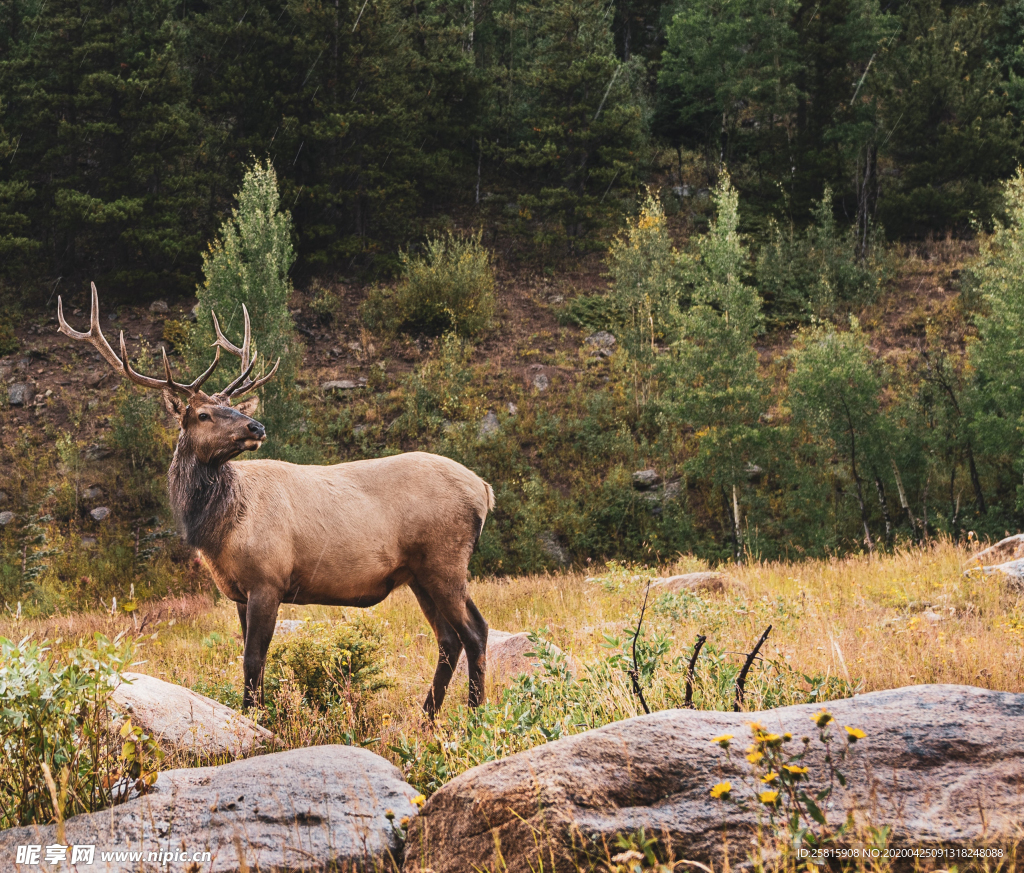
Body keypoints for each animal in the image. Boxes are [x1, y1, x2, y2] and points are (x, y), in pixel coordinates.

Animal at [58, 286, 491, 716]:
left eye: (231, 407)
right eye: (203, 414)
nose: (256, 426)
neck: (218, 530)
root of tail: (484, 490)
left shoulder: (268, 579)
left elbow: (253, 660)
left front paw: (254, 717)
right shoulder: (238, 590)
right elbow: (255, 661)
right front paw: (259, 713)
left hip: (444, 559)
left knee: (475, 631)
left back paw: (474, 714)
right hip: (418, 573)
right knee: (448, 640)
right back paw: (426, 717)